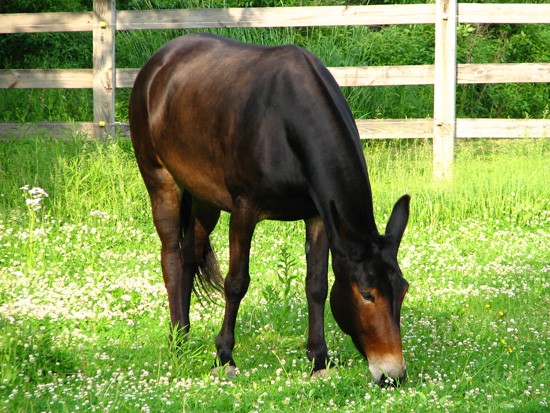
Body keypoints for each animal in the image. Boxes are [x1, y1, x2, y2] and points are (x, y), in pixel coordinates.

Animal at [129, 33, 412, 384]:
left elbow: (316, 285)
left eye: (403, 290)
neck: (285, 121)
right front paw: (224, 356)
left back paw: (184, 333)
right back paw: (177, 341)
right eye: (366, 293)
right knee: (170, 257)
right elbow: (236, 282)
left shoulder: (319, 214)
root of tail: (158, 62)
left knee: (188, 257)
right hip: (160, 180)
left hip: (204, 197)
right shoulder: (244, 210)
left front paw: (319, 359)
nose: (393, 374)